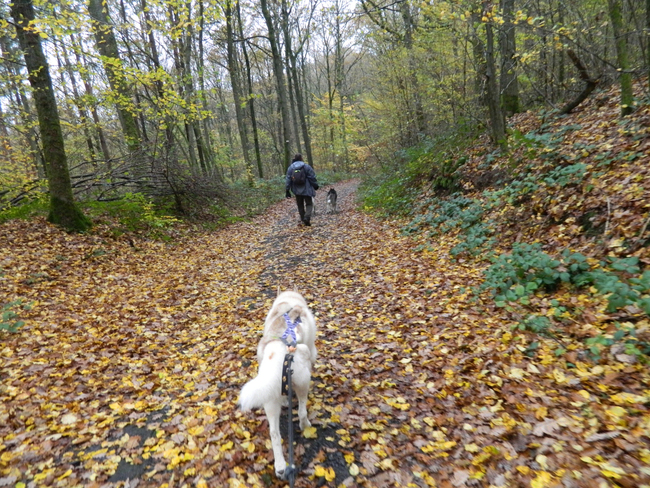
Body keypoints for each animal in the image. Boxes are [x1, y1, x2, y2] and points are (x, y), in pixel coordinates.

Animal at [239, 292, 318, 478]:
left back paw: (280, 466)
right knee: (302, 410)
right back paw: (305, 425)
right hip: (303, 380)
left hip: (269, 401)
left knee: (274, 433)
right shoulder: (311, 348)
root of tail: (278, 357)